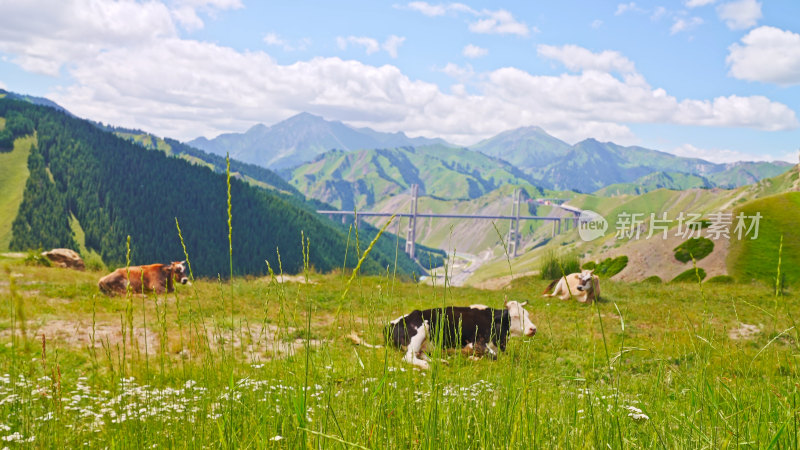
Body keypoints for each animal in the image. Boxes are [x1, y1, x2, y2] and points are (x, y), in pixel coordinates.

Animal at [382, 302, 536, 370]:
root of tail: (391, 323)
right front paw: (473, 357)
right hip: (420, 332)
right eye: (515, 316)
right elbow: (493, 356)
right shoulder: (477, 342)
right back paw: (426, 365)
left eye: (527, 314)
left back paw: (442, 361)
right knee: (409, 357)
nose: (533, 329)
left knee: (421, 354)